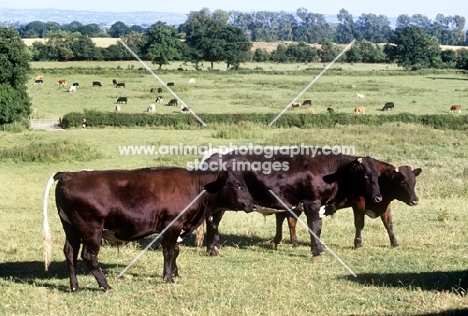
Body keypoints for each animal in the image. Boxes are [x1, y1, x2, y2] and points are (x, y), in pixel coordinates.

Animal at [42, 168, 258, 292]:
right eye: (237, 185)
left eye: (245, 185)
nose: (254, 204)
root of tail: (69, 174)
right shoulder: (173, 225)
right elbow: (169, 252)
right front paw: (169, 278)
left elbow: (175, 252)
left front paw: (173, 274)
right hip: (91, 229)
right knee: (89, 256)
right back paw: (105, 286)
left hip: (71, 228)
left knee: (70, 253)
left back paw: (75, 286)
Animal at [196, 150, 382, 256]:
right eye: (365, 175)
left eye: (376, 175)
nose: (378, 197)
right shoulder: (312, 203)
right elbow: (314, 227)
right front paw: (317, 251)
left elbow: (318, 228)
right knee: (212, 222)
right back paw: (213, 249)